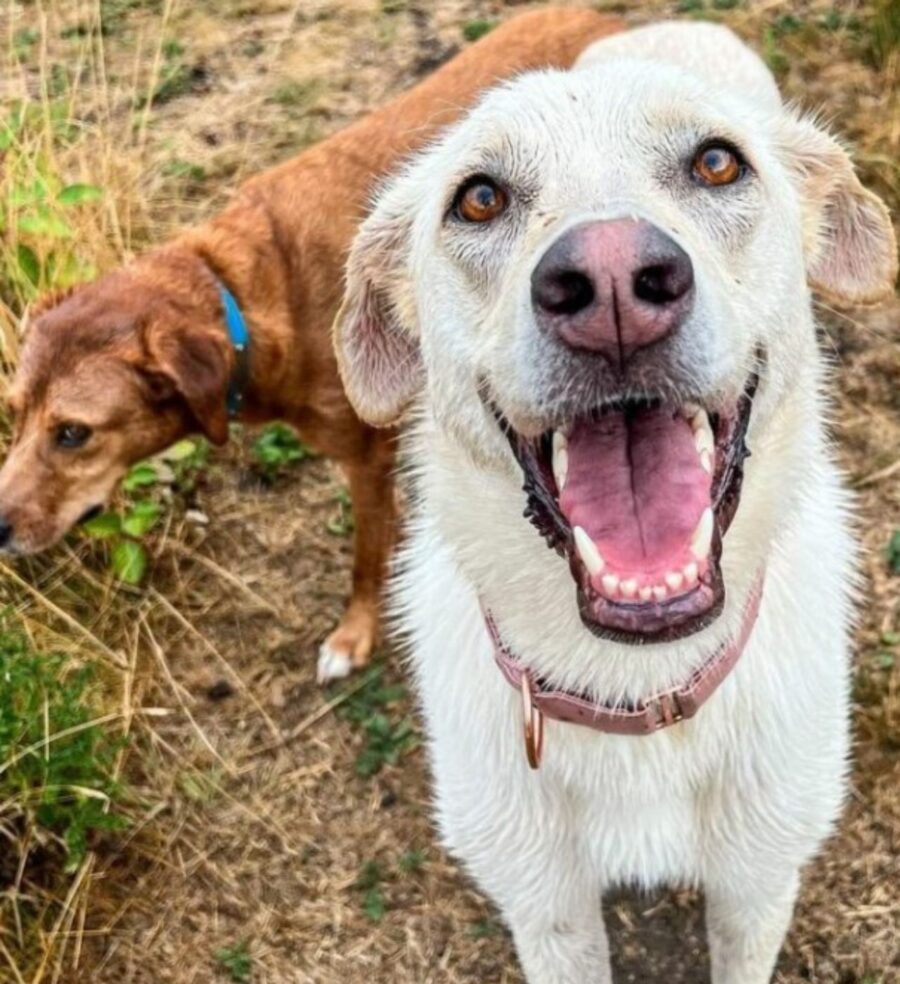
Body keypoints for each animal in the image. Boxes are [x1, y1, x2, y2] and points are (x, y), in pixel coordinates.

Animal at [0, 9, 620, 684]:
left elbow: (366, 559)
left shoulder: (368, 463)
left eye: (73, 433)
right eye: (14, 413)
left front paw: (353, 635)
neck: (242, 293)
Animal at [334, 21, 896, 984]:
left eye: (717, 162)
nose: (612, 286)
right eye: (477, 198)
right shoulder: (548, 910)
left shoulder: (758, 885)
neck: (638, 692)